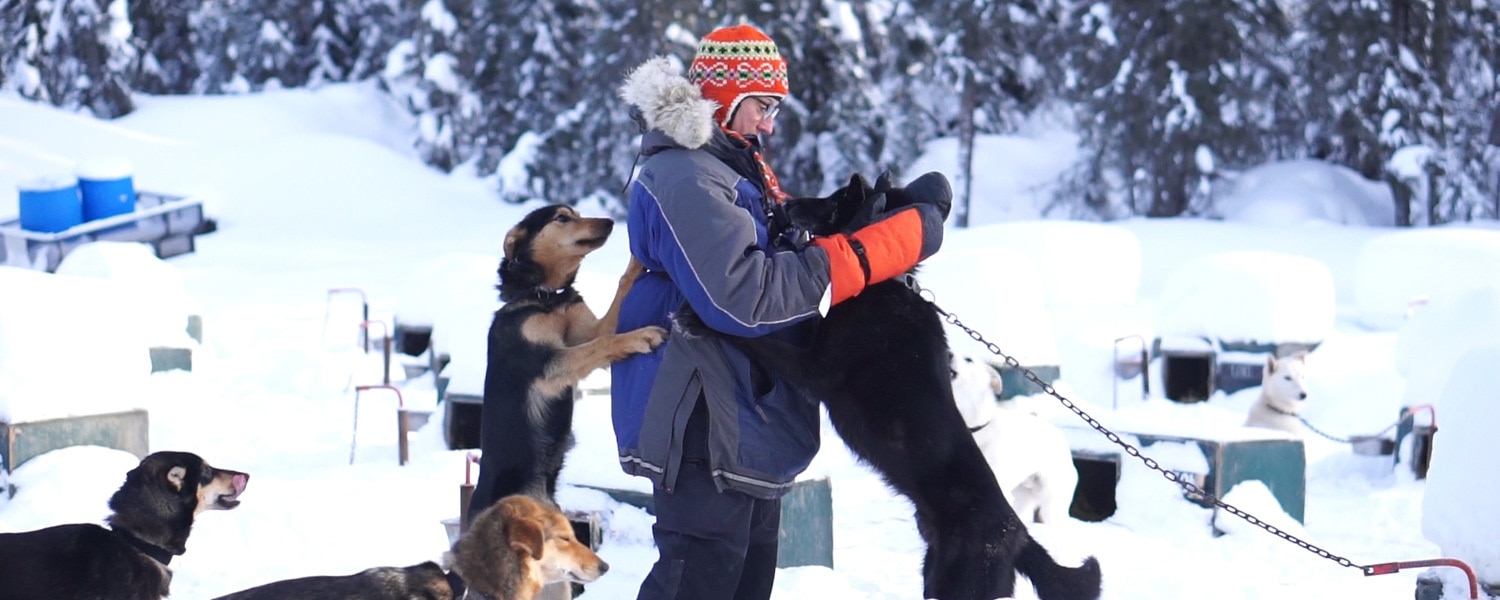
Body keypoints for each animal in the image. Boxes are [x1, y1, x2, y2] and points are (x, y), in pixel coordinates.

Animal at [462, 202, 663, 519]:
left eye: (578, 214)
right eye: (562, 218)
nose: (609, 222)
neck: (546, 297)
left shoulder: (588, 332)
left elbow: (612, 314)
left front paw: (634, 264)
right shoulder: (549, 365)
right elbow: (604, 343)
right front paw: (642, 336)